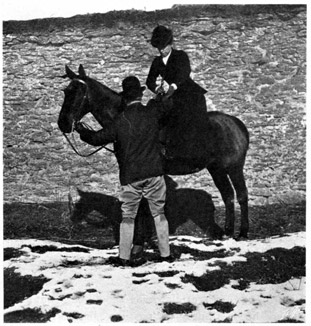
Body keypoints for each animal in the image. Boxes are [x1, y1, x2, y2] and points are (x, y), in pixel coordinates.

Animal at [57, 64, 250, 237]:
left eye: (79, 93)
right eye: (66, 91)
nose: (63, 123)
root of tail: (236, 124)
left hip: (234, 168)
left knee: (241, 195)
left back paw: (242, 232)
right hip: (216, 169)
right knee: (228, 195)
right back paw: (227, 232)